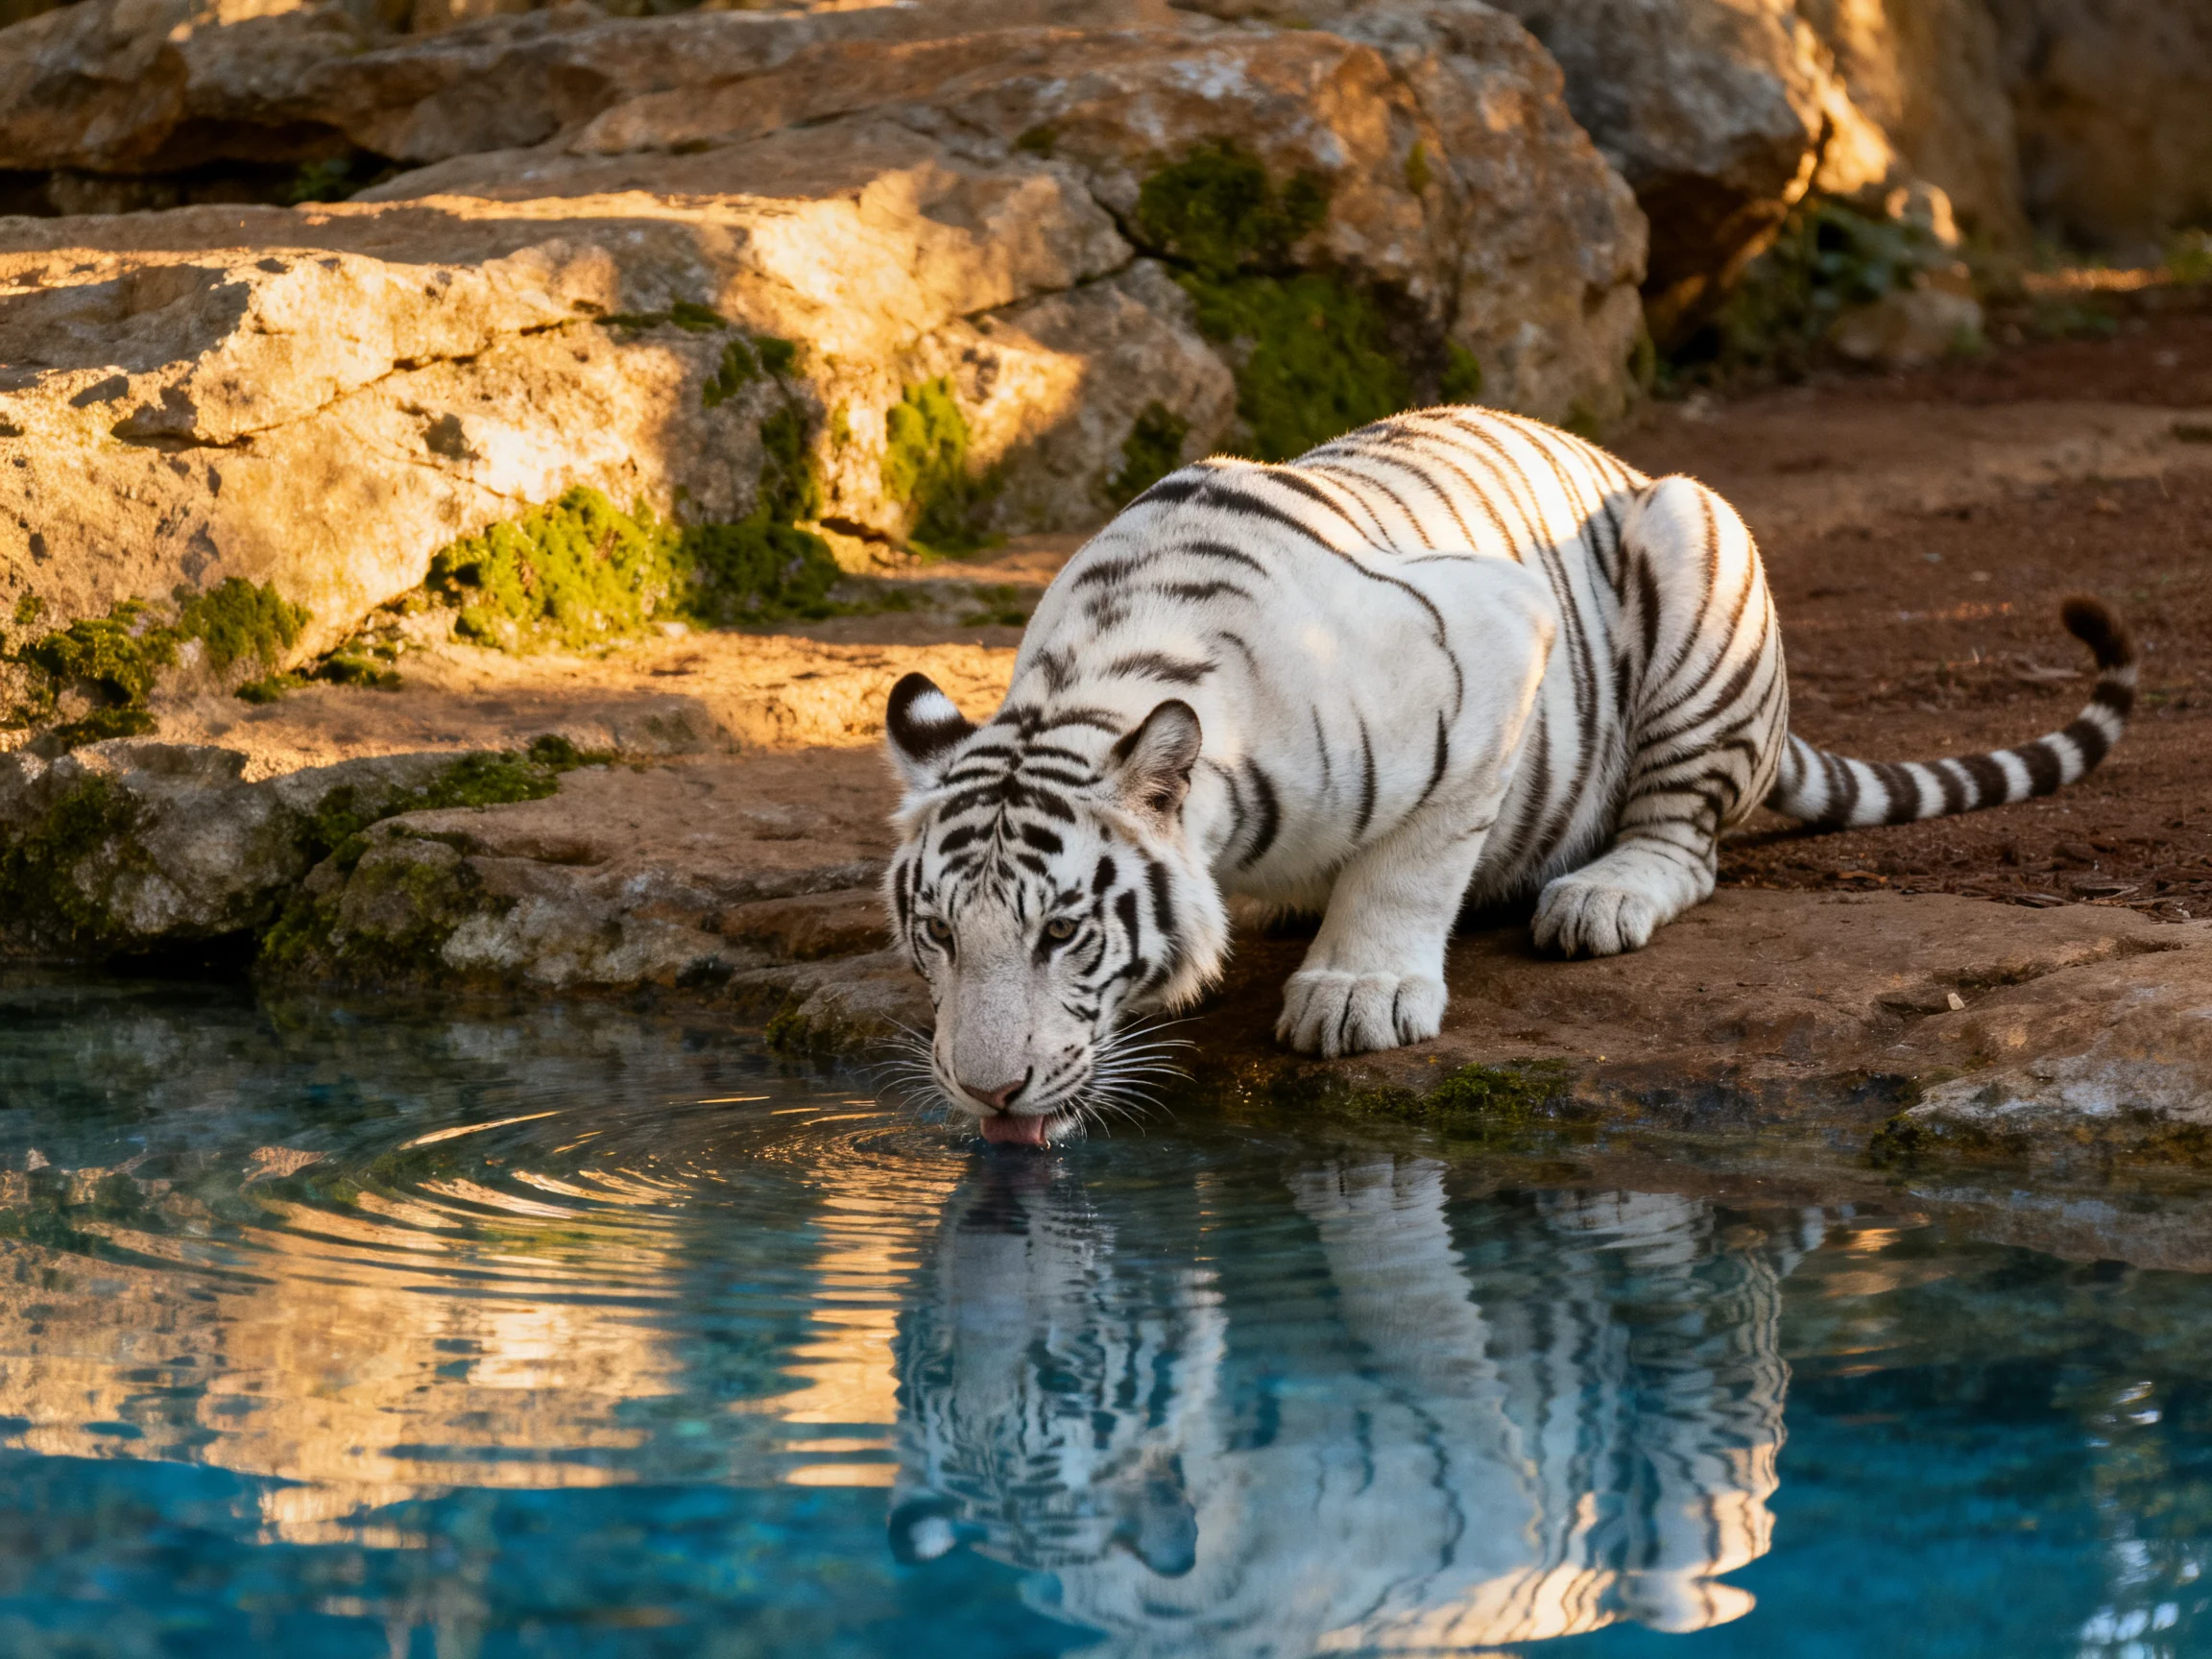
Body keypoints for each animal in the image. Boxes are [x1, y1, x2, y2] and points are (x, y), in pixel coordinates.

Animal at [881, 404, 2136, 1143]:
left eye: (1061, 933)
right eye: (937, 933)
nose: (986, 1090)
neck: (1092, 680)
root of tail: (1616, 457)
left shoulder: (1492, 641)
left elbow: (1414, 860)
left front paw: (1360, 992)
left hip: (1693, 538)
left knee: (1686, 842)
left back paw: (1602, 897)